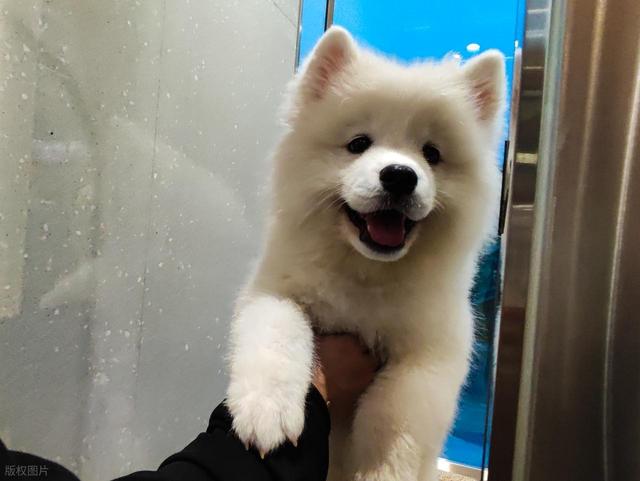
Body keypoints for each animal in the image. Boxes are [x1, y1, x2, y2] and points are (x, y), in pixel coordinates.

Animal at [226, 26, 505, 481]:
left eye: (431, 154)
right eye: (358, 143)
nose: (400, 176)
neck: (365, 272)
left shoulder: (430, 352)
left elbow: (394, 417)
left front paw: (382, 470)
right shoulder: (275, 291)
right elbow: (279, 334)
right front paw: (266, 412)